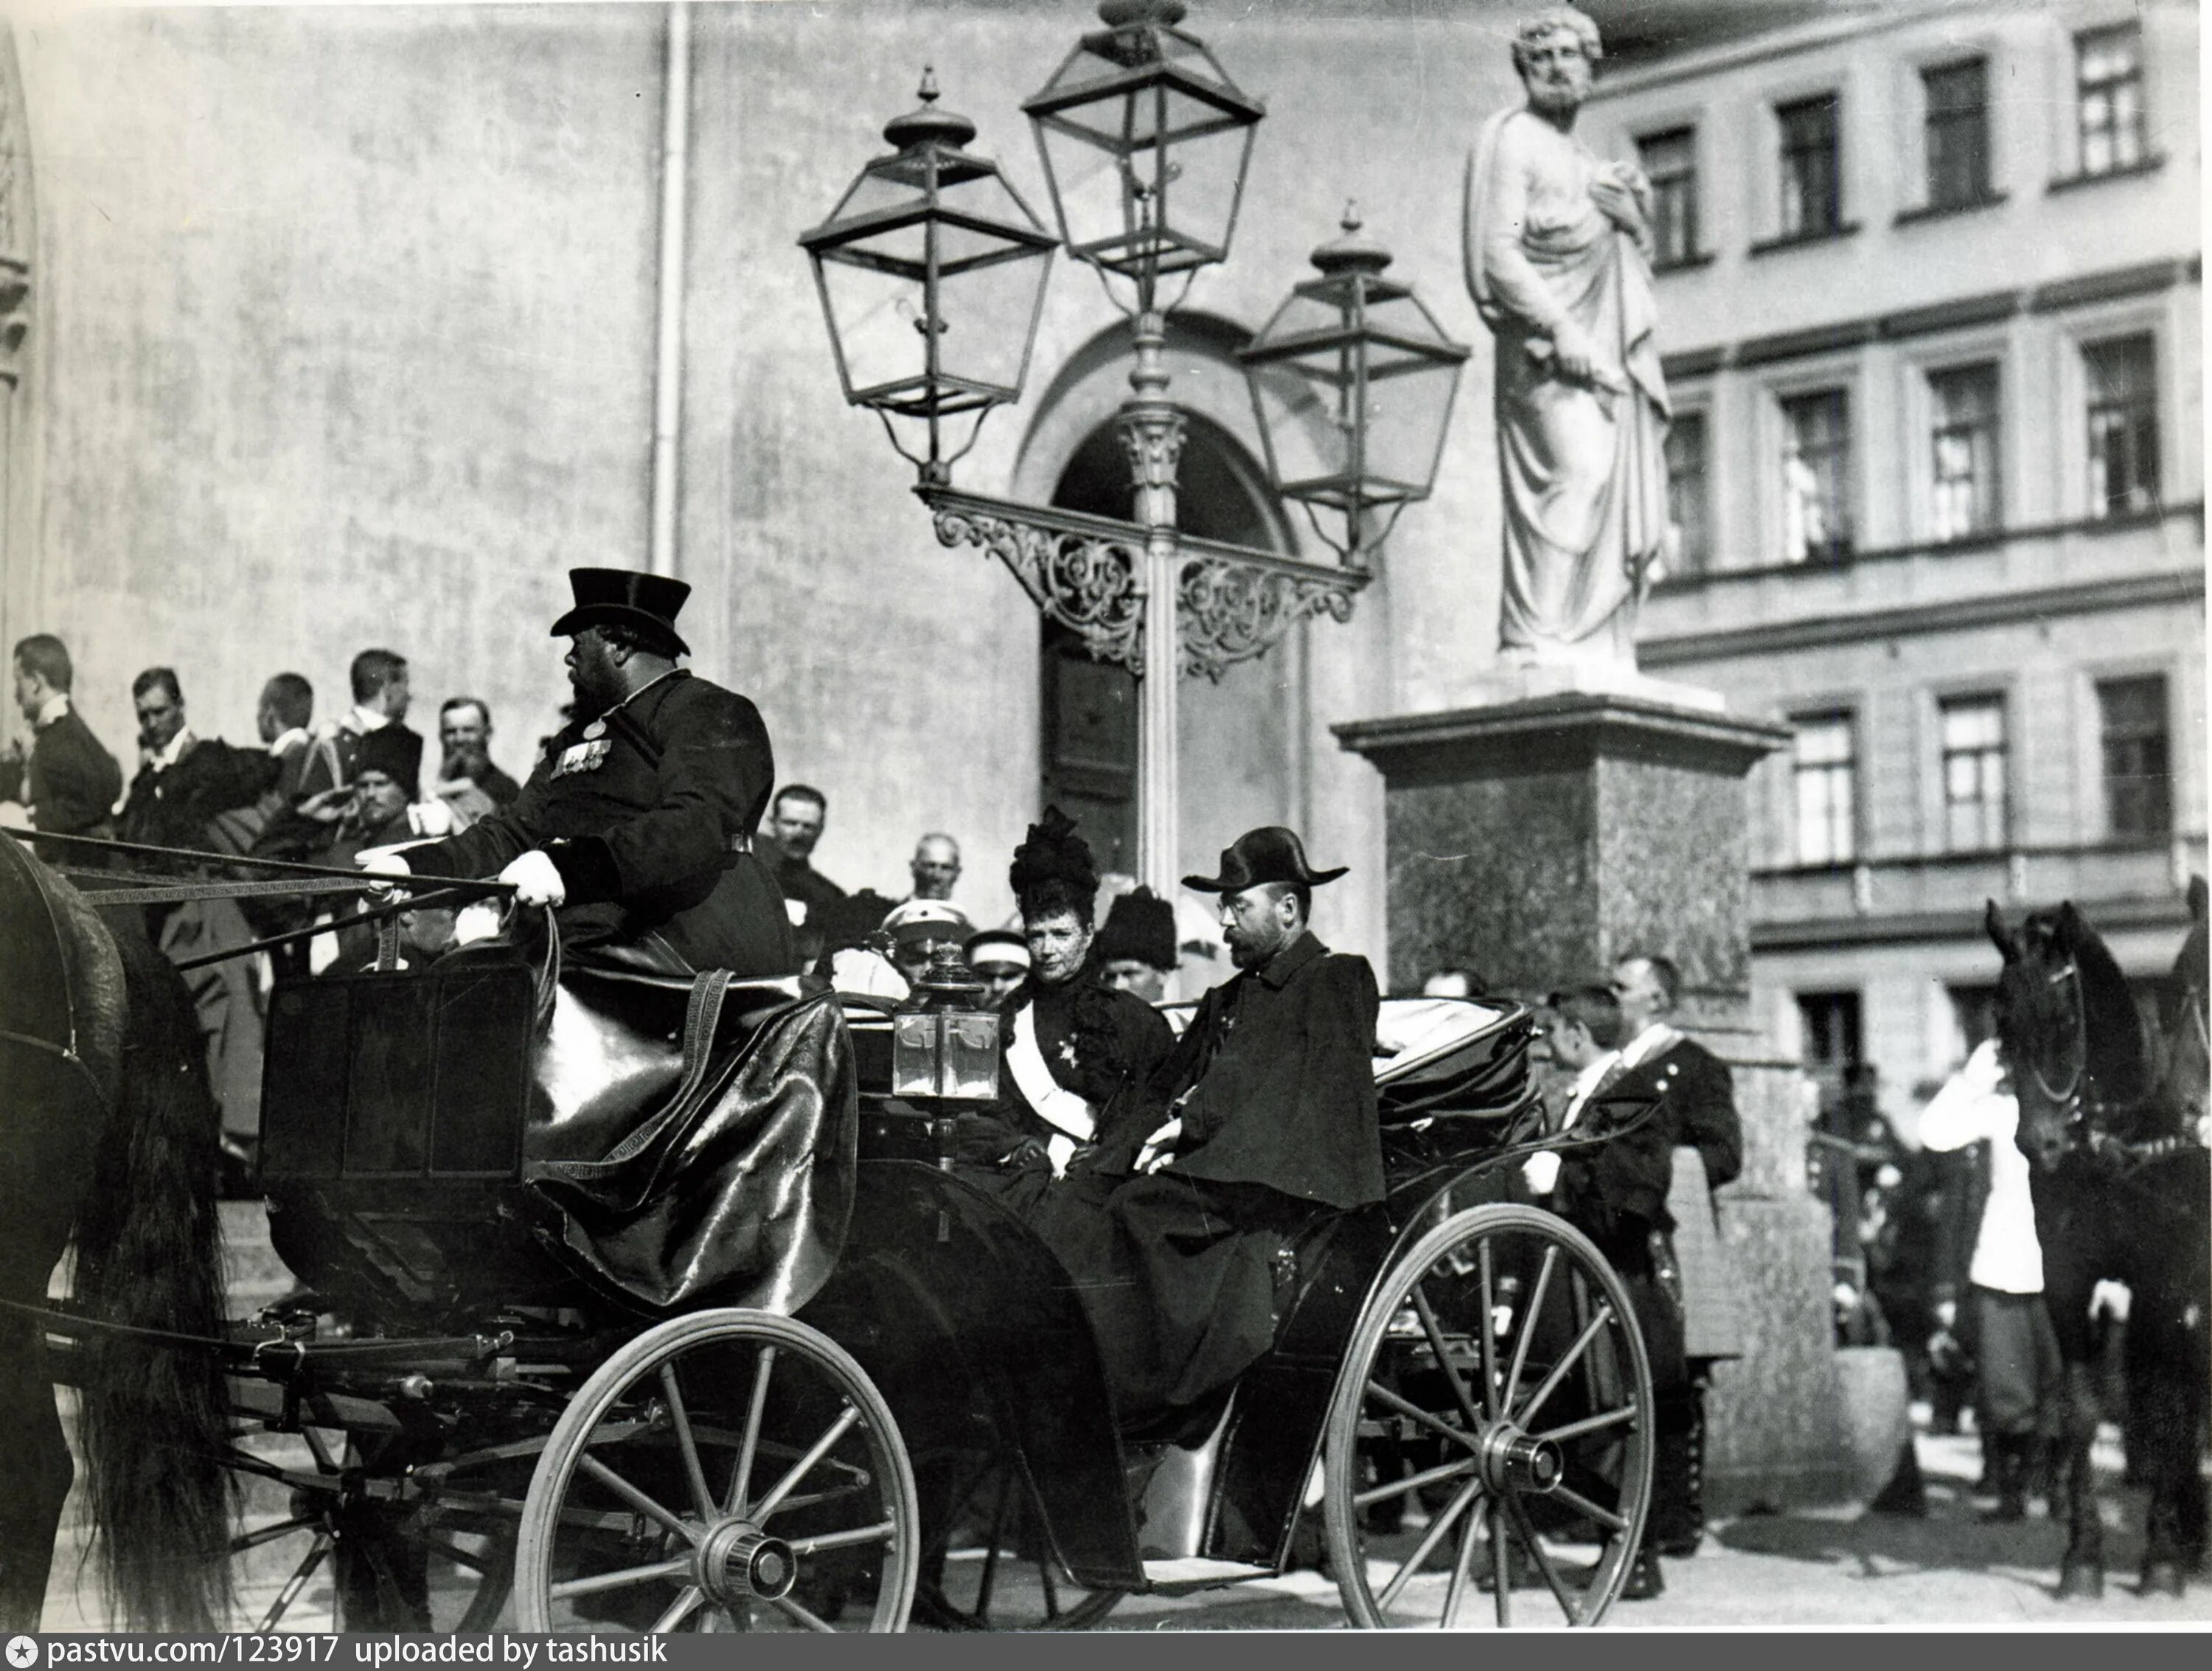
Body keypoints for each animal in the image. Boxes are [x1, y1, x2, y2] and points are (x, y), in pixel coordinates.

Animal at [1991, 880, 2212, 1602]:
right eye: (2001, 1022)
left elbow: (2166, 1408)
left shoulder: (2164, 1282)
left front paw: (2160, 1558)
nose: (2038, 1144)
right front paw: (2082, 1556)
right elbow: (2084, 1412)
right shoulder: (2067, 1280)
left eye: (2066, 1020)